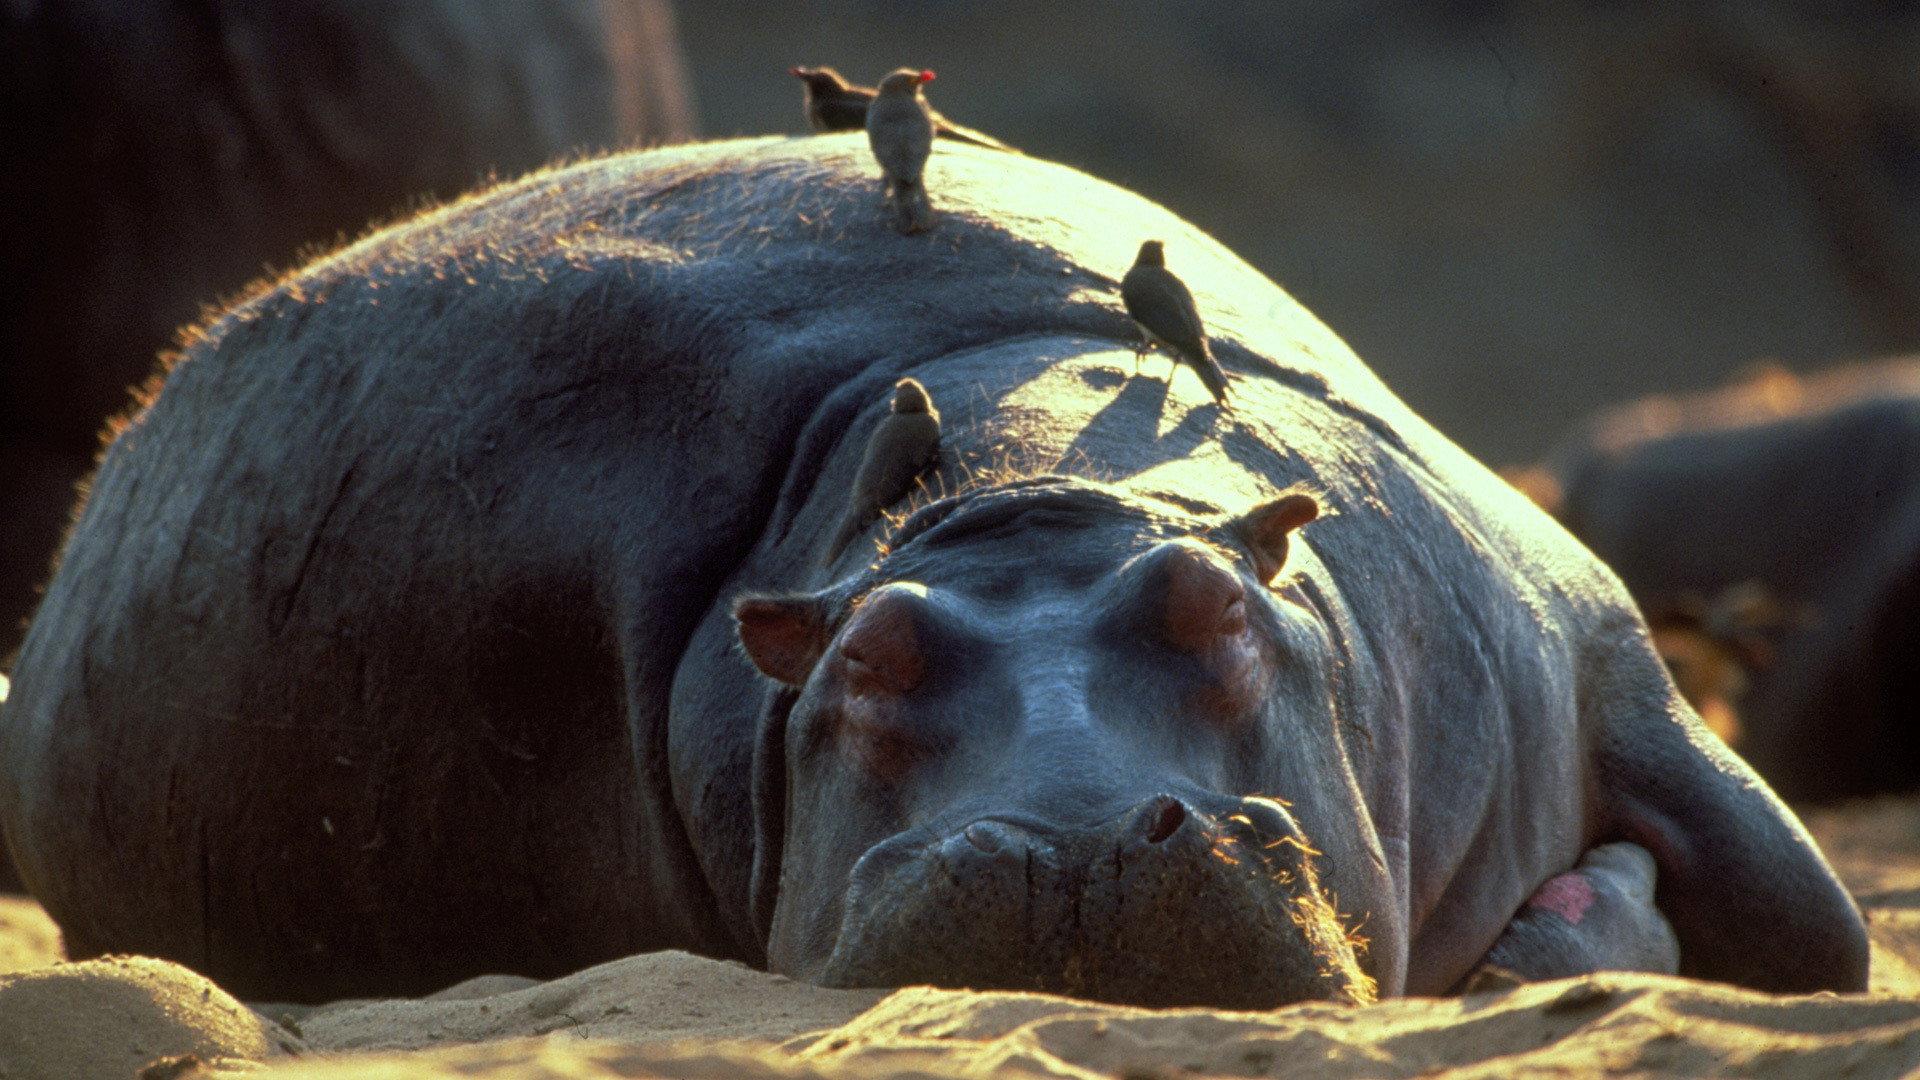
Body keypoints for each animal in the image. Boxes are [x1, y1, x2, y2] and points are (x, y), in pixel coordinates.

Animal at [0, 136, 1867, 1005]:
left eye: (1217, 609)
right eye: (863, 662)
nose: (1064, 842)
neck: (1033, 500)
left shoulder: (1606, 650)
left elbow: (1826, 928)